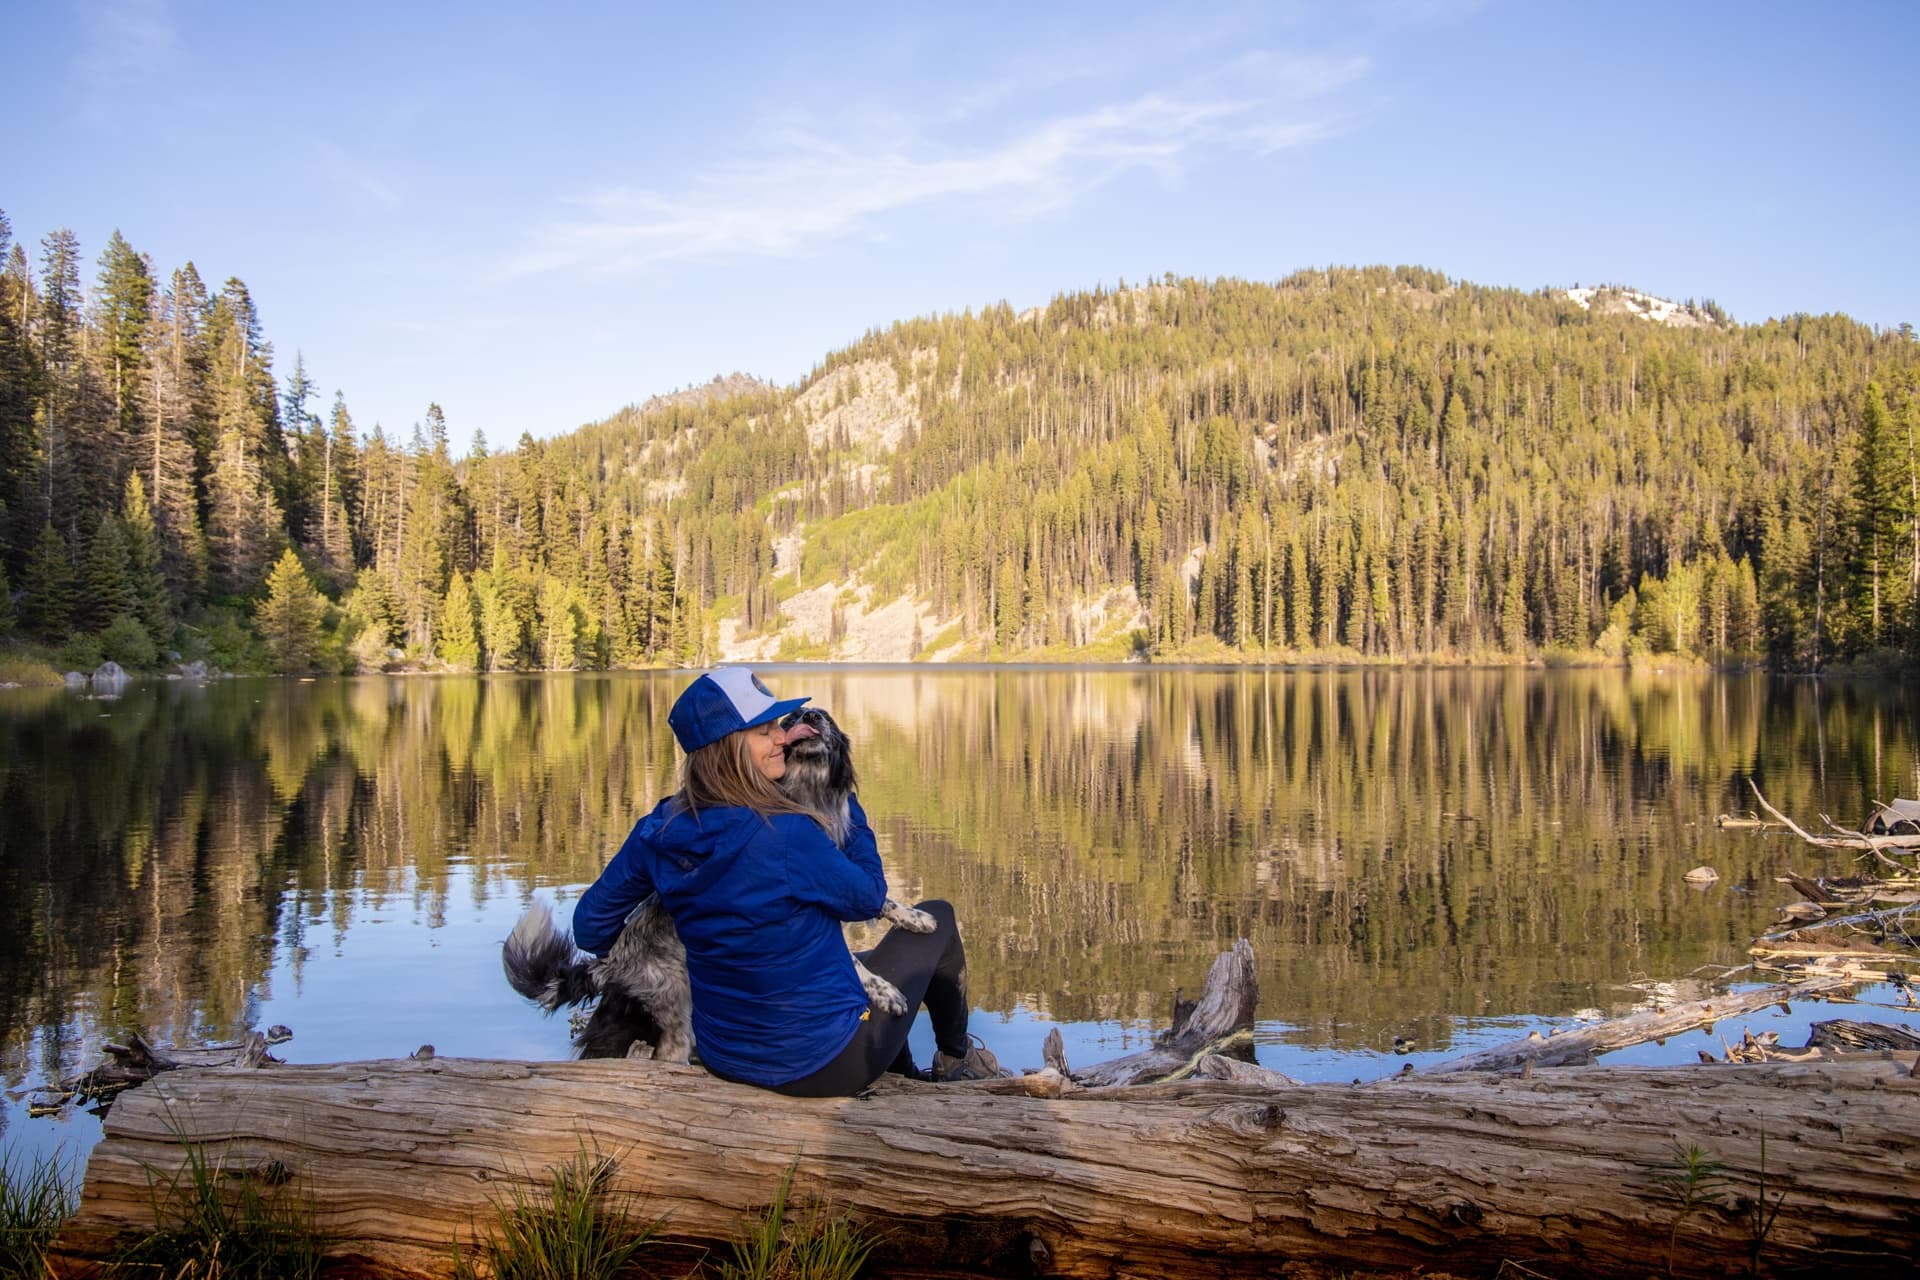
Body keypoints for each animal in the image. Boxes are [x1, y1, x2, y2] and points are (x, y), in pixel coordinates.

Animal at [506, 710, 933, 1059]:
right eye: (791, 718)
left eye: (823, 716)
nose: (809, 715)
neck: (805, 793)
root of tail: (612, 965)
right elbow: (857, 938)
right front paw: (885, 990)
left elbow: (882, 898)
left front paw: (915, 917)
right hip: (676, 1008)